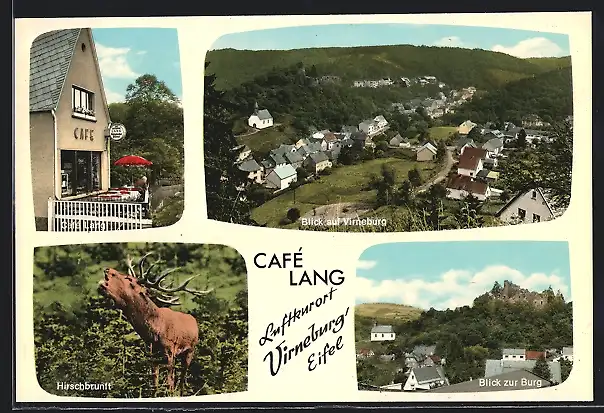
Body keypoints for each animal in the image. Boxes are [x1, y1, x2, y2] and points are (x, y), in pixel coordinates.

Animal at [98, 249, 214, 394]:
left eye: (129, 279)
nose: (108, 269)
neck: (154, 332)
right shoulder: (152, 355)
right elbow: (155, 384)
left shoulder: (170, 352)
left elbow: (170, 383)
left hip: (190, 351)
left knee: (182, 378)